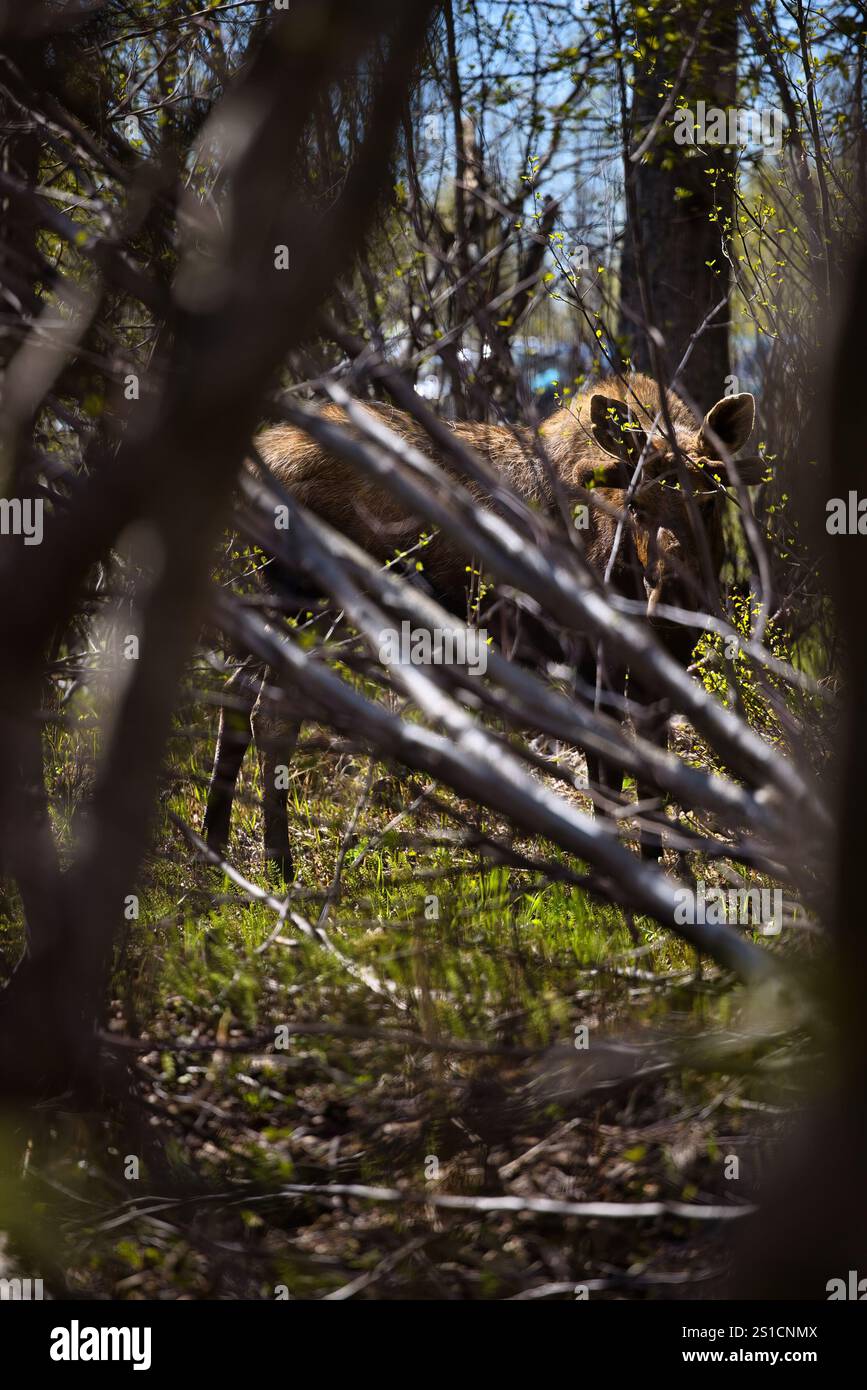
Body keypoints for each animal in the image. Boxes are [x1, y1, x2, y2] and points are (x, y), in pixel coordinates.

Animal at [204, 378, 766, 878]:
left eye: (711, 499)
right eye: (637, 505)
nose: (670, 601)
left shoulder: (663, 668)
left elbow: (652, 776)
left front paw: (665, 872)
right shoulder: (587, 658)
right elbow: (607, 775)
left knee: (235, 697)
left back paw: (214, 847)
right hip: (305, 602)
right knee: (272, 717)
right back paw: (278, 867)